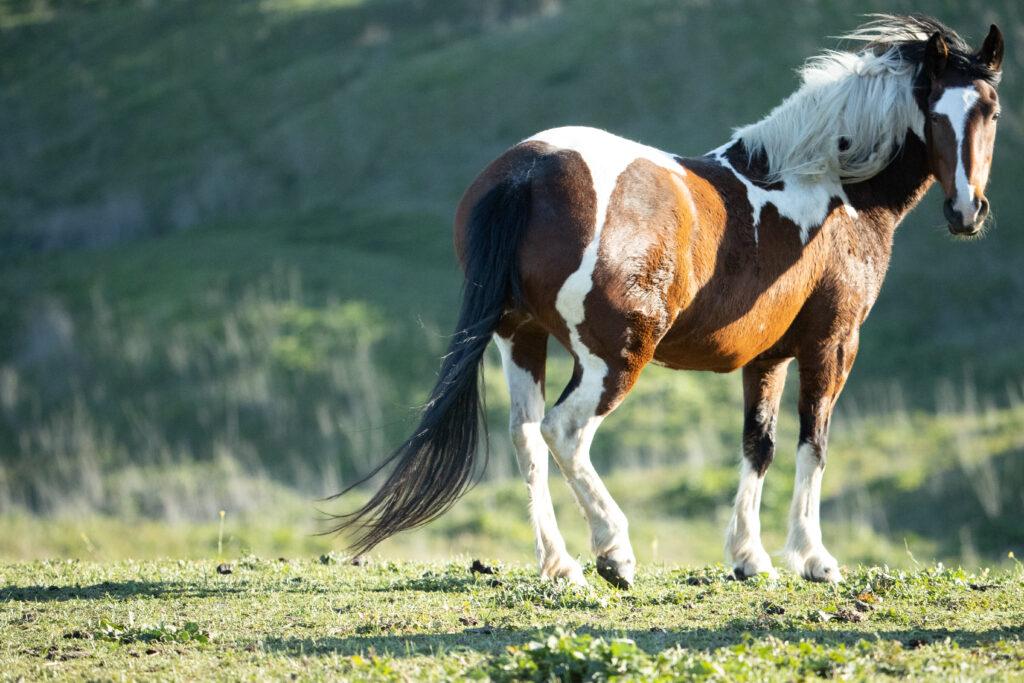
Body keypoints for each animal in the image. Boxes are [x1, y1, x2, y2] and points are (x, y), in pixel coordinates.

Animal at [327, 14, 1004, 588]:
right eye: (937, 114)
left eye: (990, 110)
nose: (966, 211)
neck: (830, 184)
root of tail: (530, 168)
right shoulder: (832, 346)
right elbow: (814, 442)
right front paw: (813, 557)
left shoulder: (767, 358)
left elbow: (759, 445)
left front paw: (749, 556)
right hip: (616, 357)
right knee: (564, 433)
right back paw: (613, 552)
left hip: (520, 338)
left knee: (526, 438)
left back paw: (560, 565)